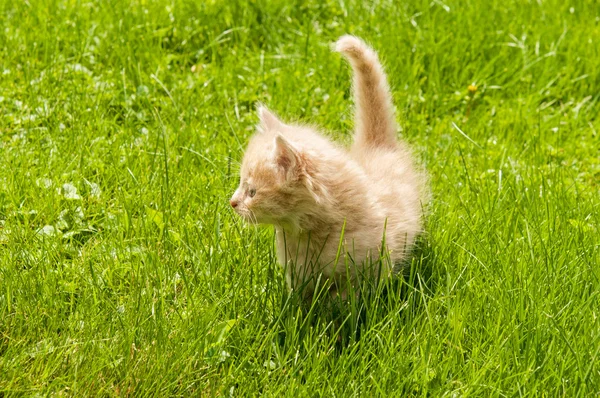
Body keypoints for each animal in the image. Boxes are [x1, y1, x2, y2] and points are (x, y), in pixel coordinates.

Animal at [230, 36, 426, 298]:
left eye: (252, 192)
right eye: (241, 184)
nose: (232, 202)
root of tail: (376, 146)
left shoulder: (371, 266)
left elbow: (349, 296)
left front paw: (336, 306)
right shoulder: (297, 271)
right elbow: (300, 293)